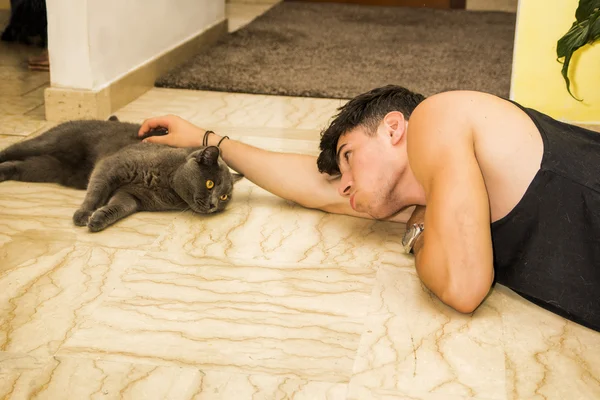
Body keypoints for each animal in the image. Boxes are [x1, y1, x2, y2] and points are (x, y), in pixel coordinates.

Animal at [1, 116, 244, 231]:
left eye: (224, 197)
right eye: (210, 184)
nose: (213, 204)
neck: (165, 183)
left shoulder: (132, 196)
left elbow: (119, 207)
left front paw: (98, 219)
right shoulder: (110, 167)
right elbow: (96, 193)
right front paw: (84, 214)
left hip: (48, 168)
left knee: (20, 166)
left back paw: (4, 172)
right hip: (49, 142)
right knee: (13, 149)